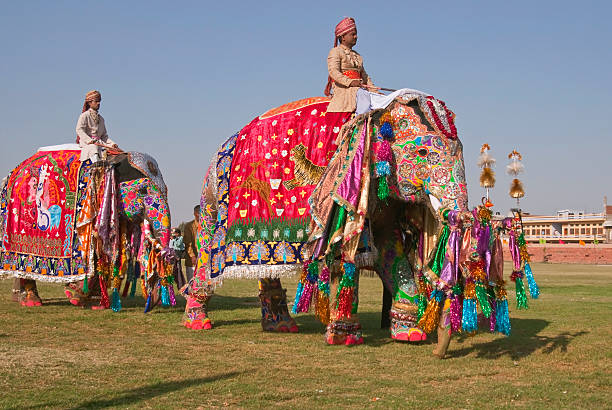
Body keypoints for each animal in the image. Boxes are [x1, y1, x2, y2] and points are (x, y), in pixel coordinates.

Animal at [1, 145, 176, 310]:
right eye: (143, 190)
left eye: (167, 190)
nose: (170, 256)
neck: (113, 158)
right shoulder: (86, 208)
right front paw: (74, 294)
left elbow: (105, 251)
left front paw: (94, 300)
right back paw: (32, 301)